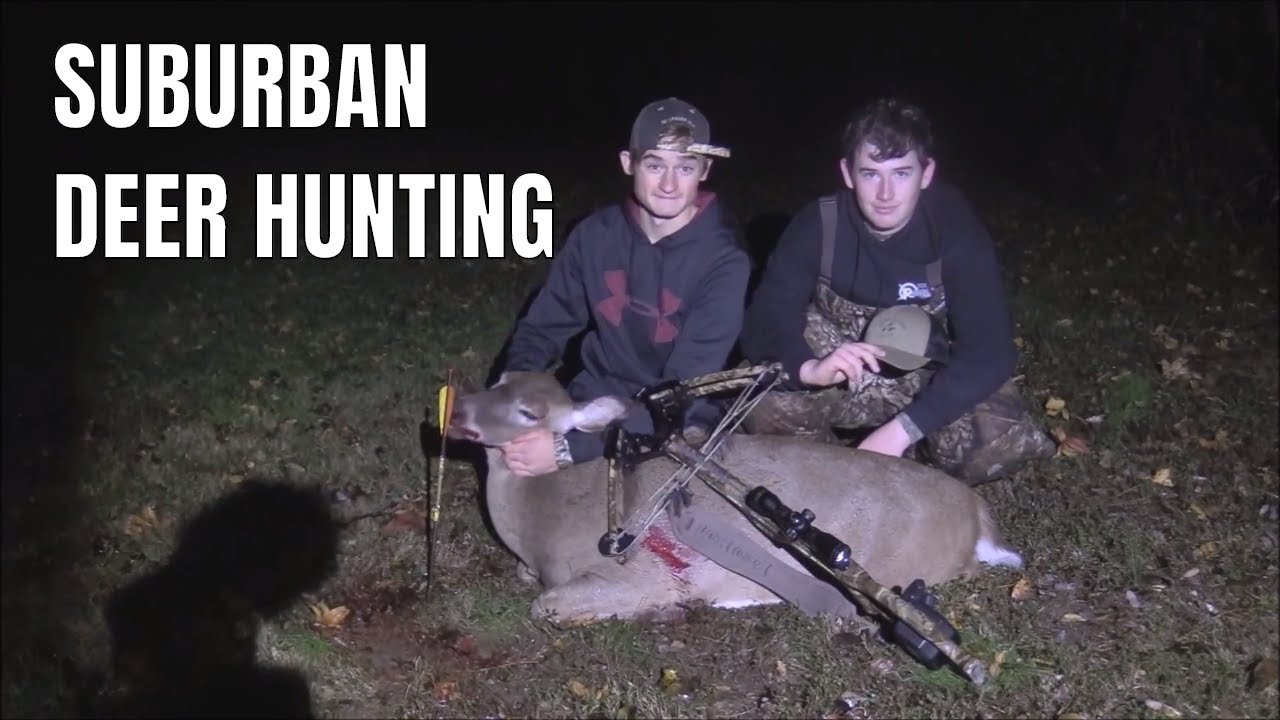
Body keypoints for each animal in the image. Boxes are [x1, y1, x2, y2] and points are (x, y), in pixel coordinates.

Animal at [446, 370, 1024, 629]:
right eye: (499, 379)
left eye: (529, 412)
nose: (457, 410)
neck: (537, 519)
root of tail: (977, 513)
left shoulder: (636, 574)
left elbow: (544, 605)